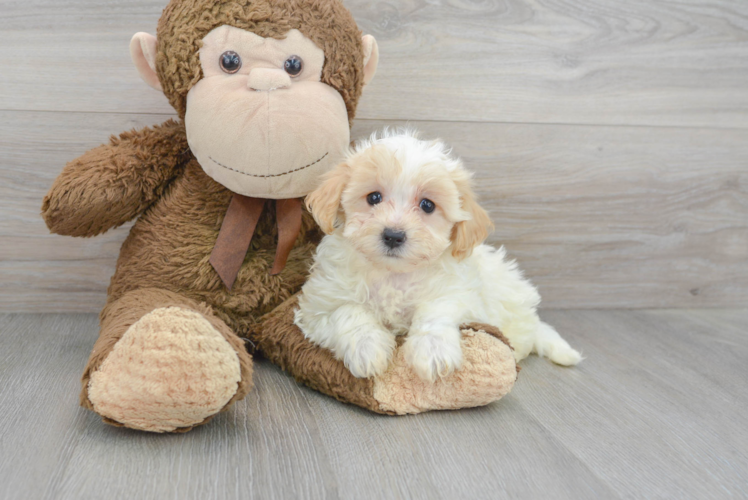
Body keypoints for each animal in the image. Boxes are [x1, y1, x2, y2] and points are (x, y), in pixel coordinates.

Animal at [296, 130, 580, 382]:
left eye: (427, 205)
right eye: (374, 197)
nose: (393, 235)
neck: (393, 274)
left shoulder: (459, 293)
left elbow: (436, 310)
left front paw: (433, 352)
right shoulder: (318, 307)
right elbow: (349, 312)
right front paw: (367, 349)